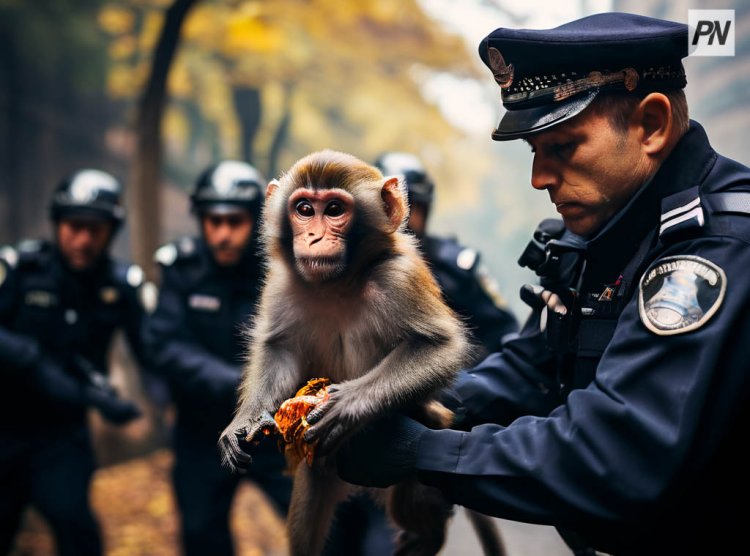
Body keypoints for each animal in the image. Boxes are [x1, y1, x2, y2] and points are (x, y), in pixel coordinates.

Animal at [220, 149, 506, 556]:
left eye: (334, 209)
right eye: (304, 209)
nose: (314, 236)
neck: (339, 282)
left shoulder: (399, 276)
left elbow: (439, 348)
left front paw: (346, 405)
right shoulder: (281, 282)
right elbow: (279, 349)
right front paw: (246, 421)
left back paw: (427, 535)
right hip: (320, 467)